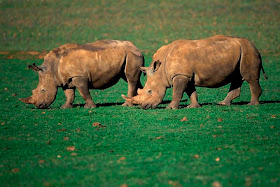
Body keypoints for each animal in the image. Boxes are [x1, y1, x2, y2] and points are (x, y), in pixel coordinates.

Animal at [122, 34, 266, 109]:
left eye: (150, 91)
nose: (144, 106)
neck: (161, 70)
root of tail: (254, 46)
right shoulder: (185, 75)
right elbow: (190, 91)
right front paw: (193, 107)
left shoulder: (180, 75)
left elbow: (177, 92)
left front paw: (171, 108)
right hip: (241, 52)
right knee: (237, 77)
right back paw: (223, 104)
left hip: (248, 51)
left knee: (250, 78)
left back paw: (252, 104)